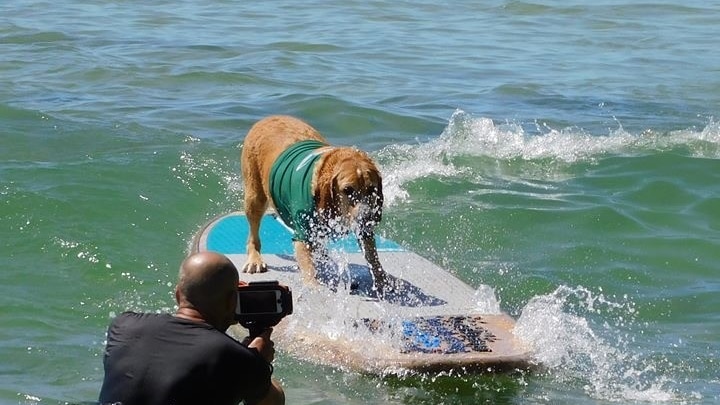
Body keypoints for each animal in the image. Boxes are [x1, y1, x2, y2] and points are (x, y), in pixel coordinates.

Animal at [240, 115, 388, 296]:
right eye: (347, 190)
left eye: (372, 189)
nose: (367, 218)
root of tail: (267, 118)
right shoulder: (302, 232)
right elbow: (307, 264)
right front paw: (314, 286)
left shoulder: (363, 231)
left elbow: (372, 257)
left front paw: (382, 281)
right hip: (254, 196)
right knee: (253, 234)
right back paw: (255, 258)